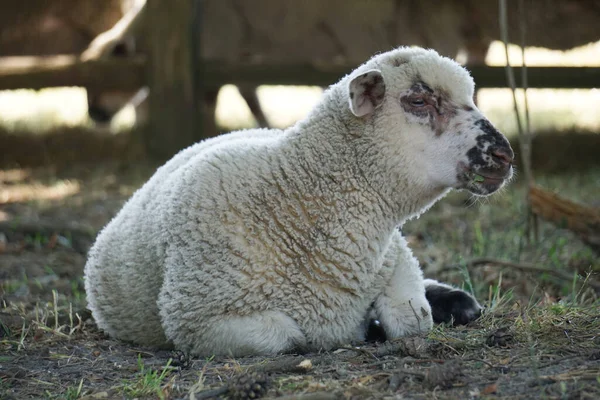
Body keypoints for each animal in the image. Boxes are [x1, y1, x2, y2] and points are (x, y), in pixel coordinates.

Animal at [83, 47, 516, 356]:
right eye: (419, 102)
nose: (504, 154)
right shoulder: (198, 318)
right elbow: (289, 336)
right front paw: (364, 328)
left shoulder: (395, 256)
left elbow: (413, 319)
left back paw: (457, 302)